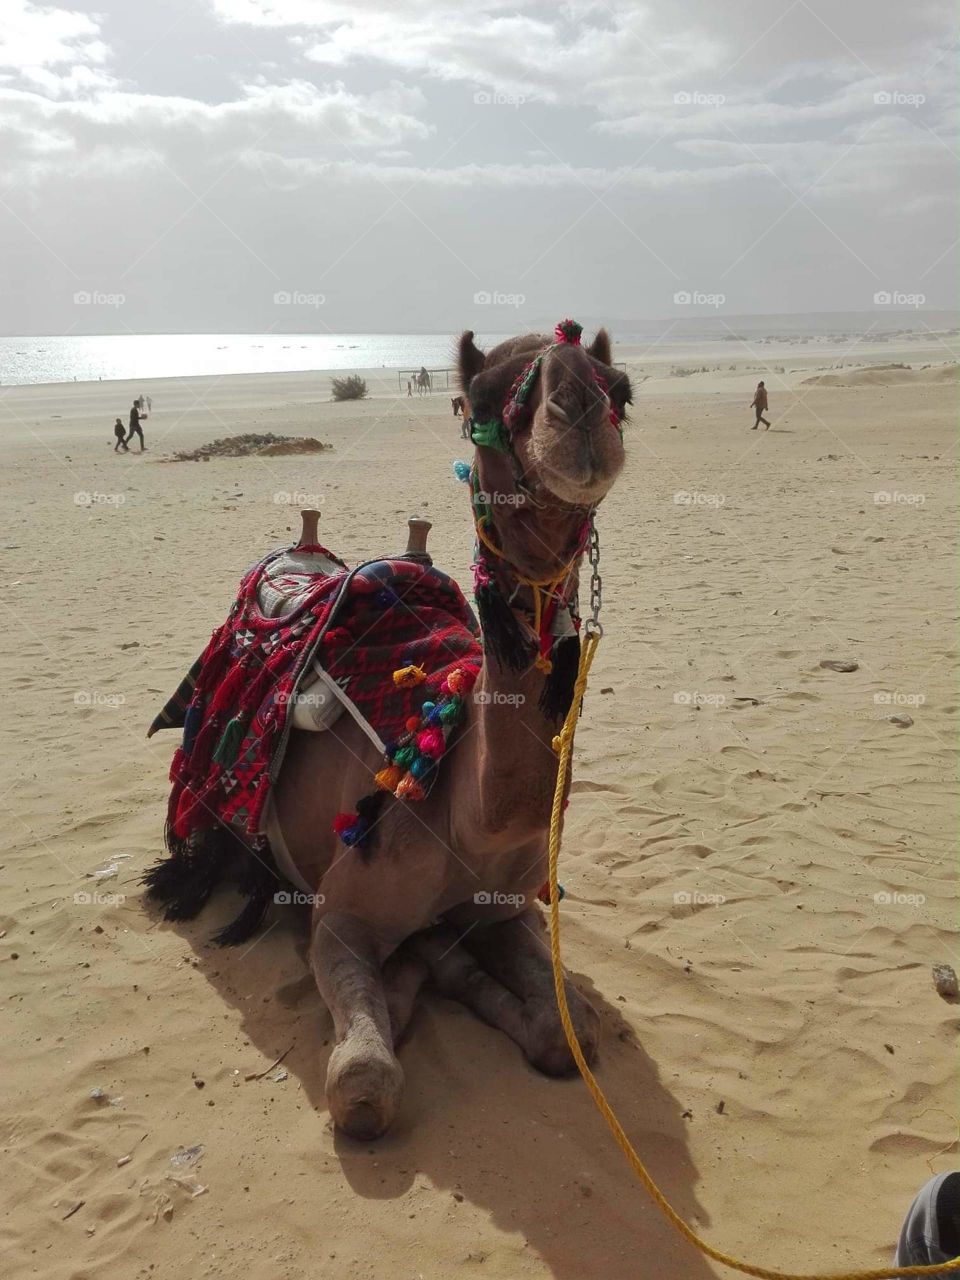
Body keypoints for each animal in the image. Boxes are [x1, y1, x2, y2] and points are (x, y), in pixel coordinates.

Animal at [147, 323, 631, 1141]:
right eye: (478, 401)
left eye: (620, 388)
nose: (579, 410)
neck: (466, 809)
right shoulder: (339, 916)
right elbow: (365, 1084)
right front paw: (406, 985)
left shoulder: (506, 909)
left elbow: (569, 1032)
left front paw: (456, 974)